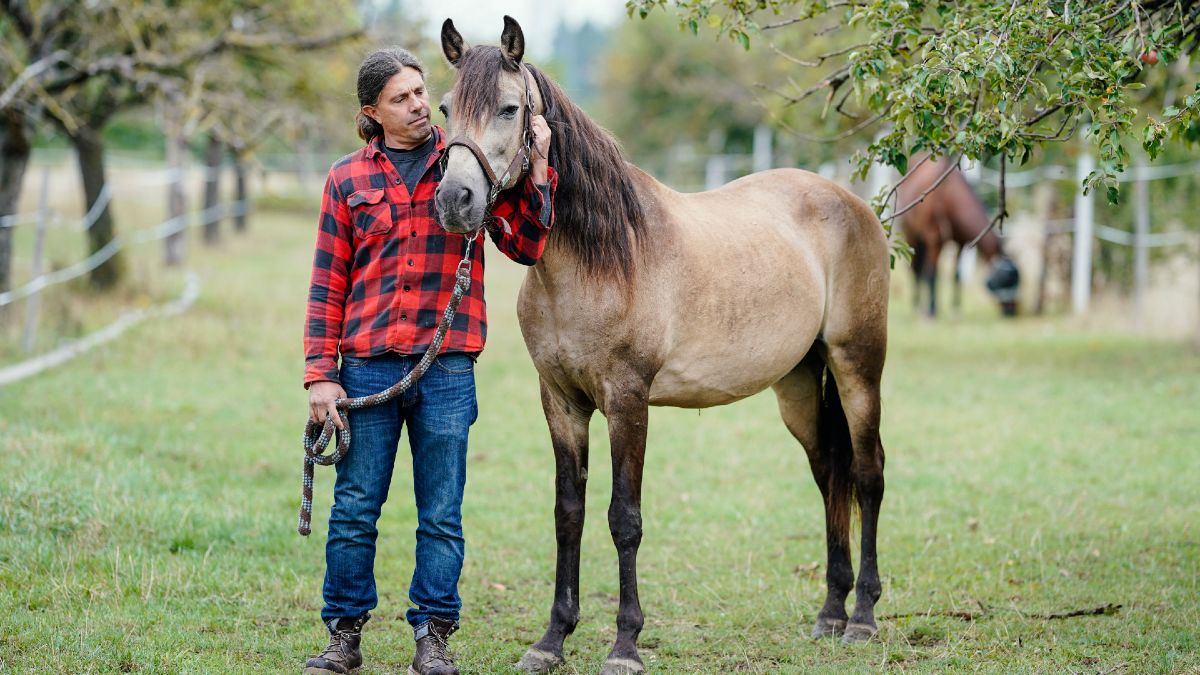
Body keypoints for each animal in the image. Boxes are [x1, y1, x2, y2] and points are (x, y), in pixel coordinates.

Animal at [432, 17, 892, 672]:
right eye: (444, 108)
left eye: (509, 108)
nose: (455, 201)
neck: (603, 258)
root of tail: (851, 202)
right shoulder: (561, 403)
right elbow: (568, 515)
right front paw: (551, 640)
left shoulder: (628, 402)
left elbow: (624, 519)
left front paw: (625, 644)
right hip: (799, 383)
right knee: (831, 471)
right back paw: (831, 611)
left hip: (858, 367)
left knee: (869, 473)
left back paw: (863, 618)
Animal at [902, 156, 1022, 317]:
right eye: (1003, 281)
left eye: (1017, 282)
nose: (1012, 310)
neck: (947, 196)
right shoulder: (935, 240)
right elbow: (932, 273)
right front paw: (932, 310)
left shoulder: (960, 242)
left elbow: (957, 276)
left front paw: (955, 308)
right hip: (911, 233)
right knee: (915, 268)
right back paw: (916, 305)